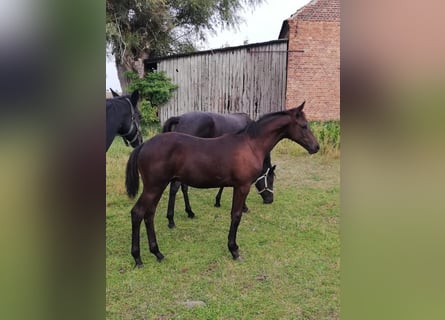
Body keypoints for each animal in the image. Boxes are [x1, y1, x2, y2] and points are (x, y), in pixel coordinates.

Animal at [125, 102, 320, 264]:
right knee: (138, 213)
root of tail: (143, 146)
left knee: (149, 214)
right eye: (304, 125)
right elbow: (236, 215)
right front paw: (234, 250)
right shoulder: (242, 186)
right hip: (154, 187)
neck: (250, 145)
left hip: (158, 187)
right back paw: (138, 257)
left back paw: (157, 252)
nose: (316, 147)